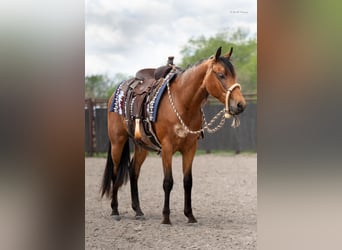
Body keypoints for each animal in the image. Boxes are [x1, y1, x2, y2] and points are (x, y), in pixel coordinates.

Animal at [100, 47, 247, 225]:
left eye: (234, 75)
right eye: (221, 75)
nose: (240, 104)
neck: (182, 102)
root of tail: (114, 94)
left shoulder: (190, 148)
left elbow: (188, 181)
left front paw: (190, 216)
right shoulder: (167, 148)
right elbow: (168, 182)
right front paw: (166, 217)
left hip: (141, 146)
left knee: (133, 171)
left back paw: (138, 211)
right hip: (118, 142)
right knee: (115, 173)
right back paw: (115, 210)